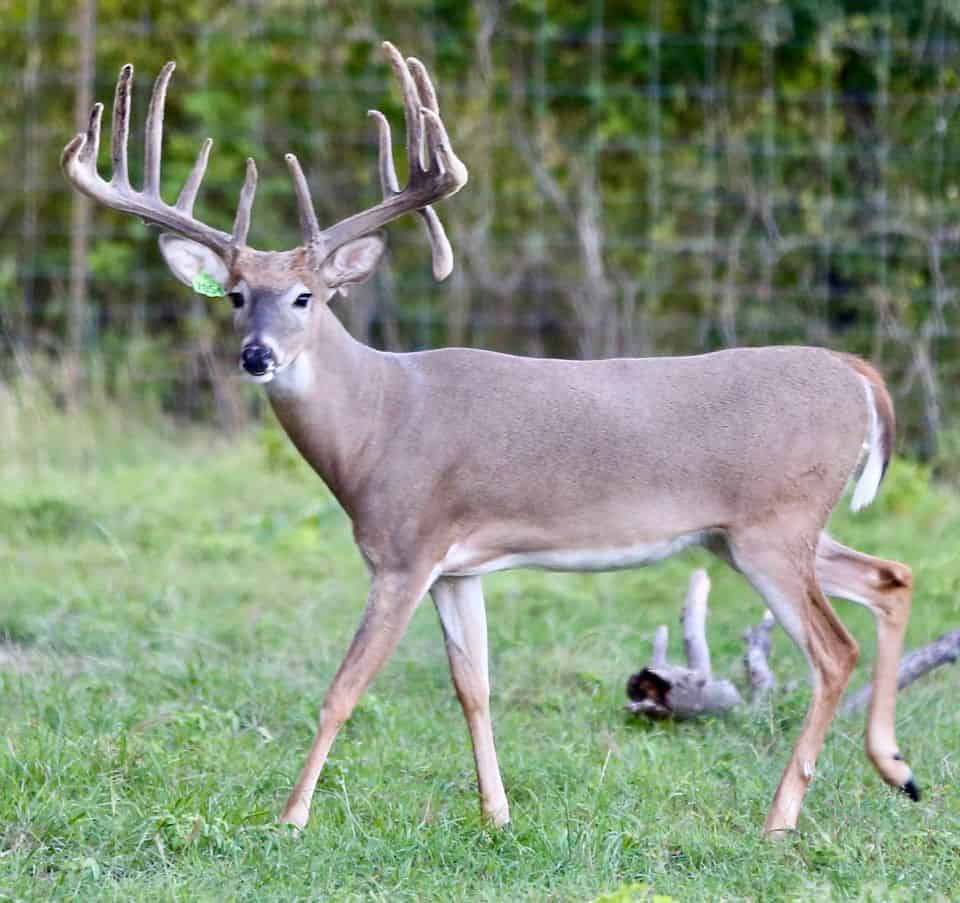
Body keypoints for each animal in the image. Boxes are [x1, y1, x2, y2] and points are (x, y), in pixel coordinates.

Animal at [62, 42, 919, 836]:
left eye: (306, 296)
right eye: (237, 295)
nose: (256, 356)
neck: (377, 425)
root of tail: (855, 371)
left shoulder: (405, 550)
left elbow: (344, 687)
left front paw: (292, 815)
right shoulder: (458, 566)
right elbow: (472, 685)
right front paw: (498, 812)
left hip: (772, 525)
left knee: (833, 648)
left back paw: (783, 815)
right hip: (753, 532)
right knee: (891, 575)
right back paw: (897, 768)